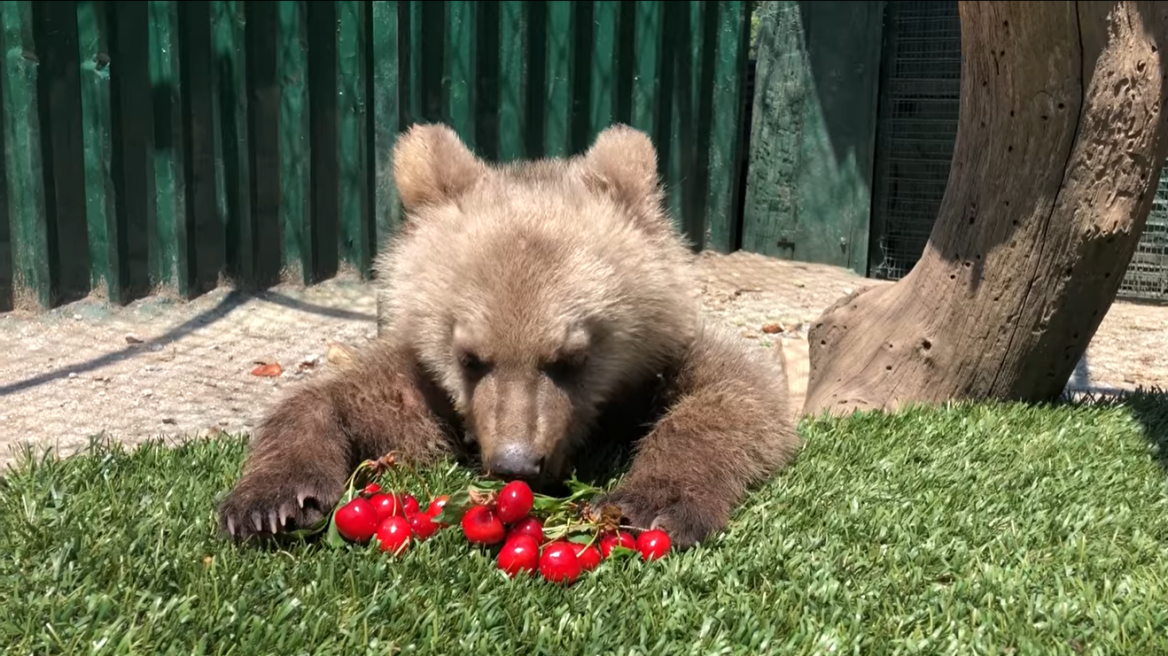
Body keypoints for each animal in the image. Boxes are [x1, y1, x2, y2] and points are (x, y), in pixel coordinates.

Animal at [217, 121, 803, 546]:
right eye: (470, 357)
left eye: (571, 358)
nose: (515, 463)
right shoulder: (428, 386)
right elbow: (349, 401)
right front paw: (270, 502)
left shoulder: (663, 359)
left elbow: (736, 395)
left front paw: (654, 502)